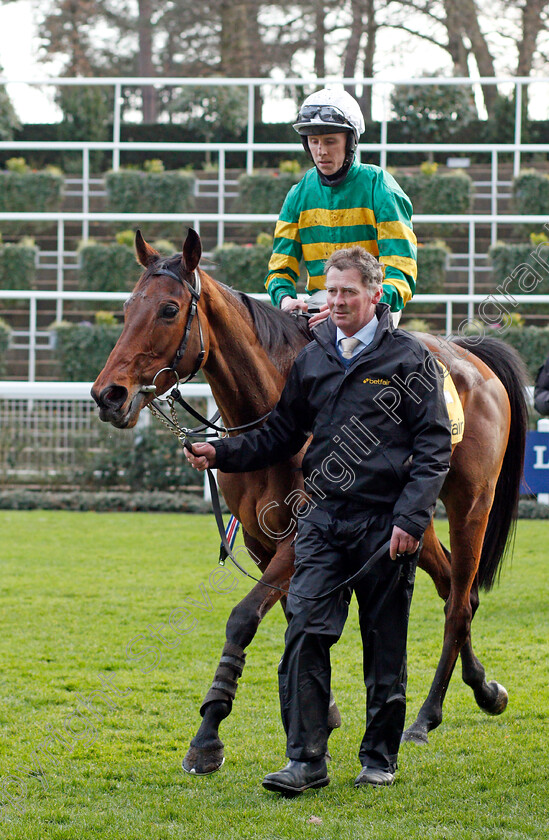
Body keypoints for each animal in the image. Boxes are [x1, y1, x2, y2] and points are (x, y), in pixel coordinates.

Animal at [93, 228, 528, 776]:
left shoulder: (299, 538)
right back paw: (484, 689)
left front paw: (208, 737)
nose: (108, 395)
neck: (274, 406)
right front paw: (326, 712)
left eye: (170, 309)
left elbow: (243, 619)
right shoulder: (260, 542)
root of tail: (472, 357)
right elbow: (286, 614)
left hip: (471, 504)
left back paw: (425, 716)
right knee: (457, 589)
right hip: (412, 524)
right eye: (128, 307)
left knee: (456, 604)